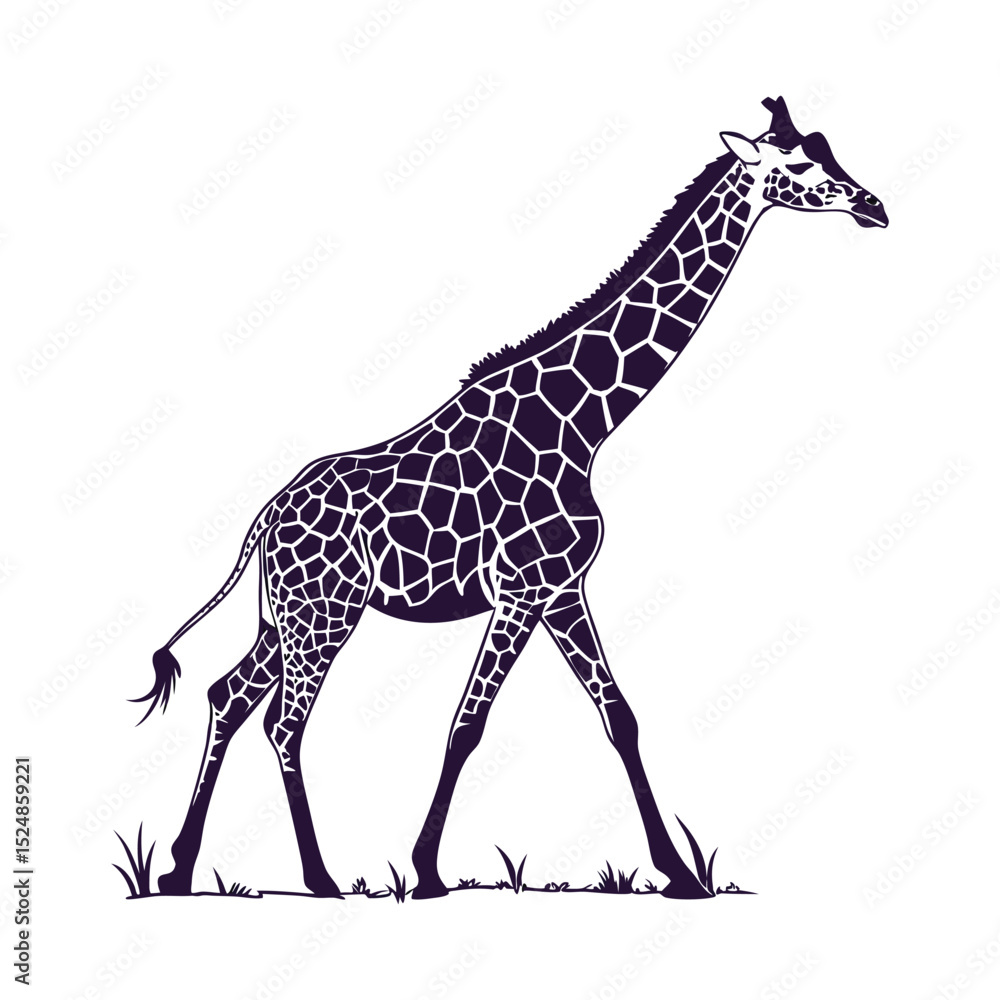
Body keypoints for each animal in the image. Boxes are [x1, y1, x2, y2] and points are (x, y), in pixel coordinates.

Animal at [137, 96, 887, 901]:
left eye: (828, 148)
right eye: (800, 164)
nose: (874, 207)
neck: (583, 420)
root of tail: (264, 520)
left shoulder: (561, 589)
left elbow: (618, 717)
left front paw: (679, 873)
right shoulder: (521, 591)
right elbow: (467, 725)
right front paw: (426, 871)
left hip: (285, 615)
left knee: (228, 695)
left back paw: (180, 868)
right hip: (324, 614)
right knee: (283, 721)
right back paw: (319, 876)